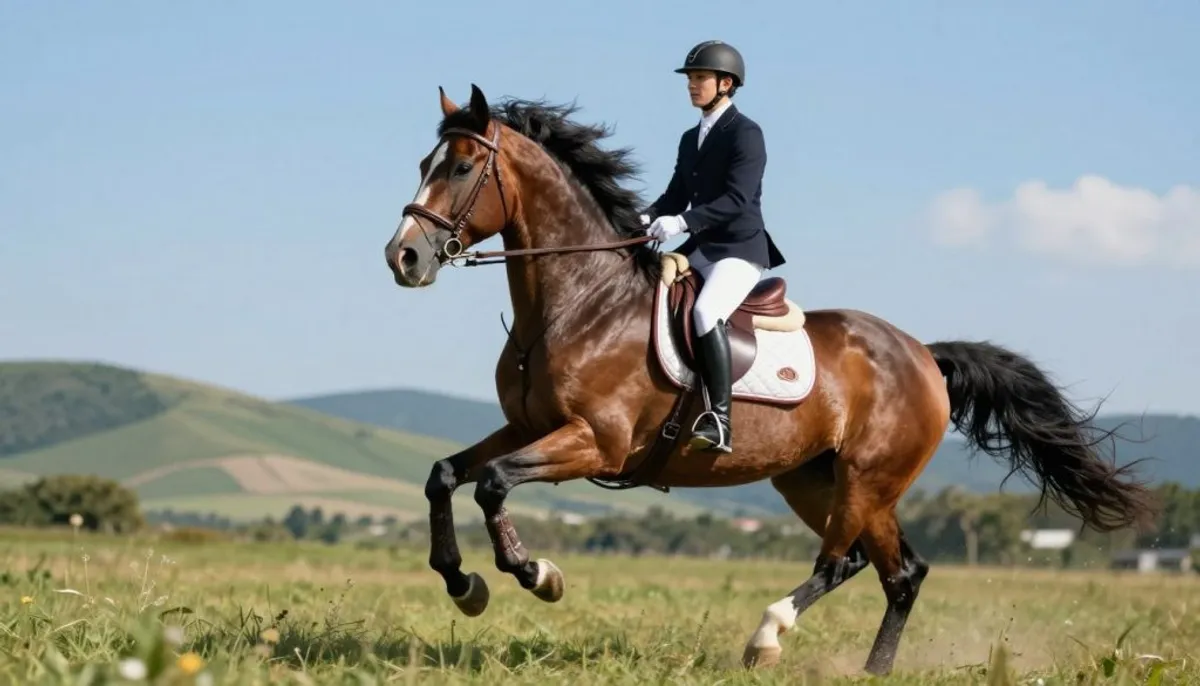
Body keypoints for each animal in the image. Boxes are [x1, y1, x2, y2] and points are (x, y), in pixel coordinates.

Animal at [382, 84, 1157, 676]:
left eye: (459, 168)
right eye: (425, 161)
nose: (404, 258)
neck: (579, 302)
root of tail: (922, 356)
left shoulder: (594, 442)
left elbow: (493, 483)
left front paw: (537, 575)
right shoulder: (528, 426)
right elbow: (444, 476)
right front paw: (463, 584)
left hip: (868, 478)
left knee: (842, 563)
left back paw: (767, 635)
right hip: (816, 479)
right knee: (897, 572)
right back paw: (872, 673)